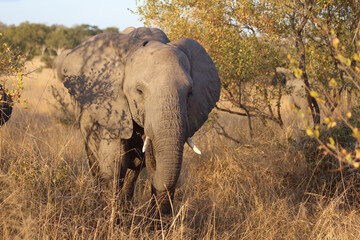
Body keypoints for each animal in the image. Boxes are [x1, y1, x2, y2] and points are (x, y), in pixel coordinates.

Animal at [59, 27, 219, 215]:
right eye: (139, 91)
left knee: (133, 171)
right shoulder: (113, 108)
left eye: (189, 93)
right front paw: (109, 217)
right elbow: (115, 163)